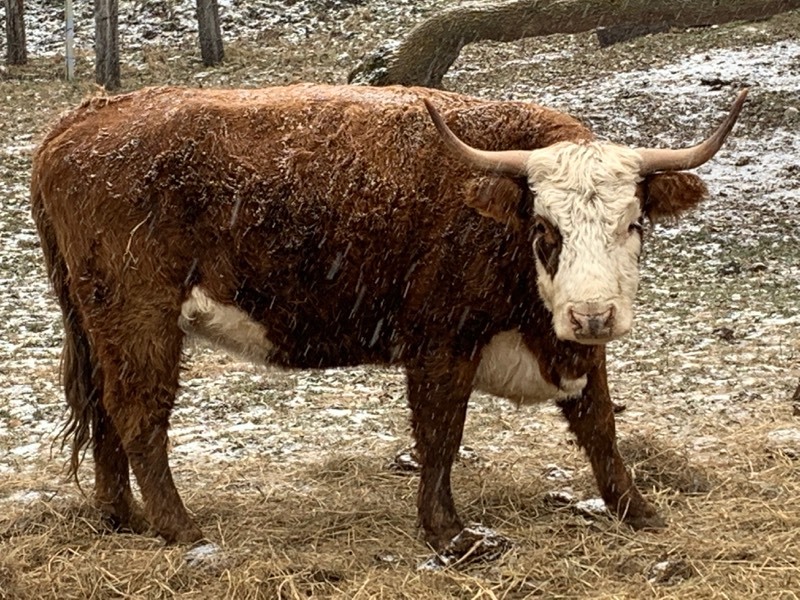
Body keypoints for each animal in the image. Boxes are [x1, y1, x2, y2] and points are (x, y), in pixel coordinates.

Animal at [28, 84, 748, 552]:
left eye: (634, 223)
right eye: (546, 229)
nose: (594, 313)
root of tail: (75, 126)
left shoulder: (570, 345)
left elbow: (599, 424)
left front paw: (638, 509)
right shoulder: (442, 345)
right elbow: (441, 435)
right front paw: (449, 532)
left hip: (101, 329)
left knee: (104, 413)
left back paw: (121, 517)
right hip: (140, 324)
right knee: (139, 416)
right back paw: (181, 529)